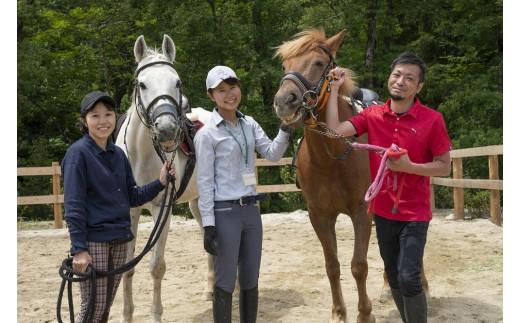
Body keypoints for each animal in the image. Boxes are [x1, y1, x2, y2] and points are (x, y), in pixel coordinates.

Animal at [117, 34, 214, 322]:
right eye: (142, 84)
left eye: (177, 82)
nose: (168, 129)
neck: (140, 155)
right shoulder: (130, 211)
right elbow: (127, 267)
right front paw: (126, 315)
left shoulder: (163, 209)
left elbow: (156, 266)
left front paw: (156, 315)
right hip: (198, 204)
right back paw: (210, 290)